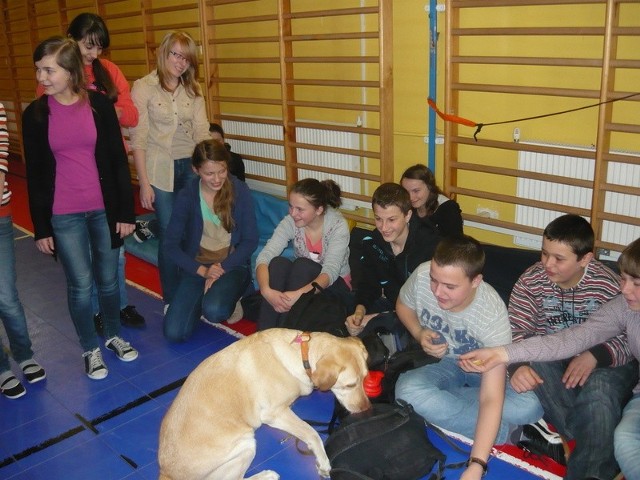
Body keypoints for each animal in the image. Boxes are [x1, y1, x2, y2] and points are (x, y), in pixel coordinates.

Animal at [157, 328, 372, 478]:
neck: (301, 354)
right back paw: (267, 475)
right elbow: (311, 432)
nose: (366, 409)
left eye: (365, 378)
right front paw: (323, 462)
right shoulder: (274, 413)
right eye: (350, 384)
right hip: (246, 444)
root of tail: (166, 473)